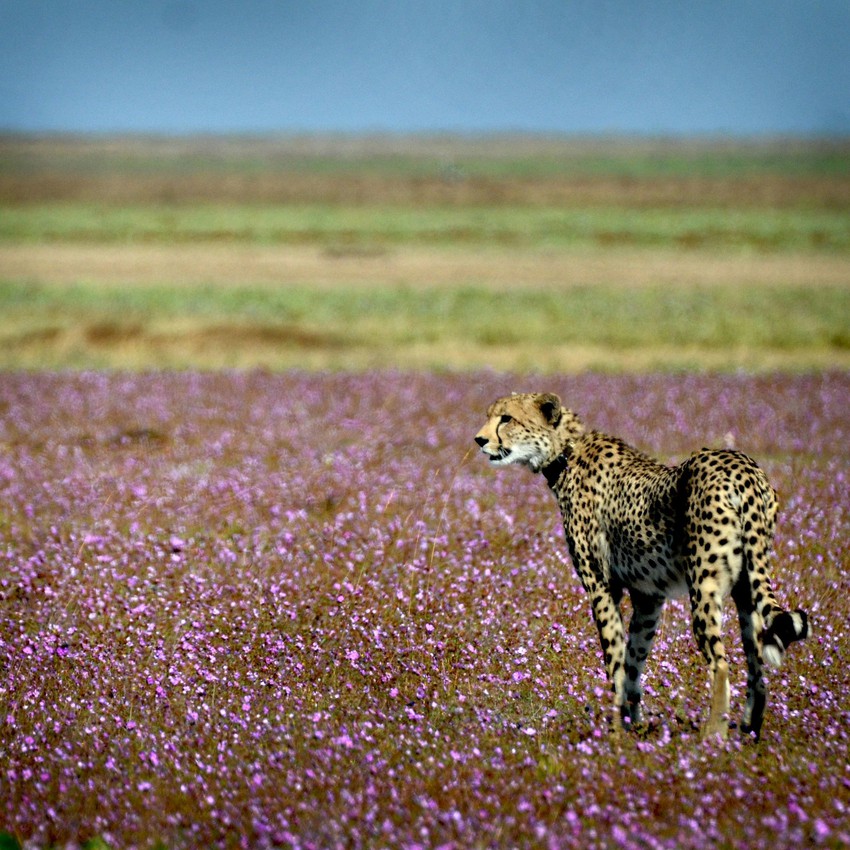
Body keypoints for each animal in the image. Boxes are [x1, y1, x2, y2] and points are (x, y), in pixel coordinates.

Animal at [474, 390, 812, 736]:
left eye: (506, 418)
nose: (479, 439)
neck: (565, 453)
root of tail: (742, 467)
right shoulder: (649, 596)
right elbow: (634, 660)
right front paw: (633, 725)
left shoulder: (601, 586)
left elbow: (614, 658)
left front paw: (613, 730)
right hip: (748, 586)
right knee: (756, 662)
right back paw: (750, 731)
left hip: (704, 585)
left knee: (721, 663)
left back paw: (712, 736)